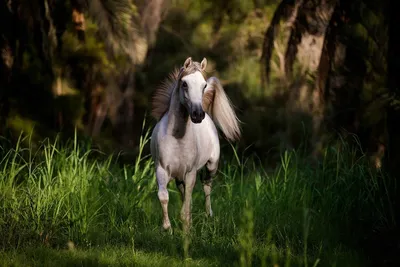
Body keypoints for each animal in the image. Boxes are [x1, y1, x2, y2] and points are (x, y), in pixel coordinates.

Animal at [148, 57, 239, 233]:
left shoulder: (190, 173)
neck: (177, 137)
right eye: (184, 83)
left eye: (203, 85)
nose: (198, 114)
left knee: (207, 187)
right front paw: (167, 229)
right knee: (185, 194)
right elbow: (164, 197)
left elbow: (187, 204)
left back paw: (208, 215)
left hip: (211, 166)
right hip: (178, 177)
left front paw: (186, 230)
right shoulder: (161, 170)